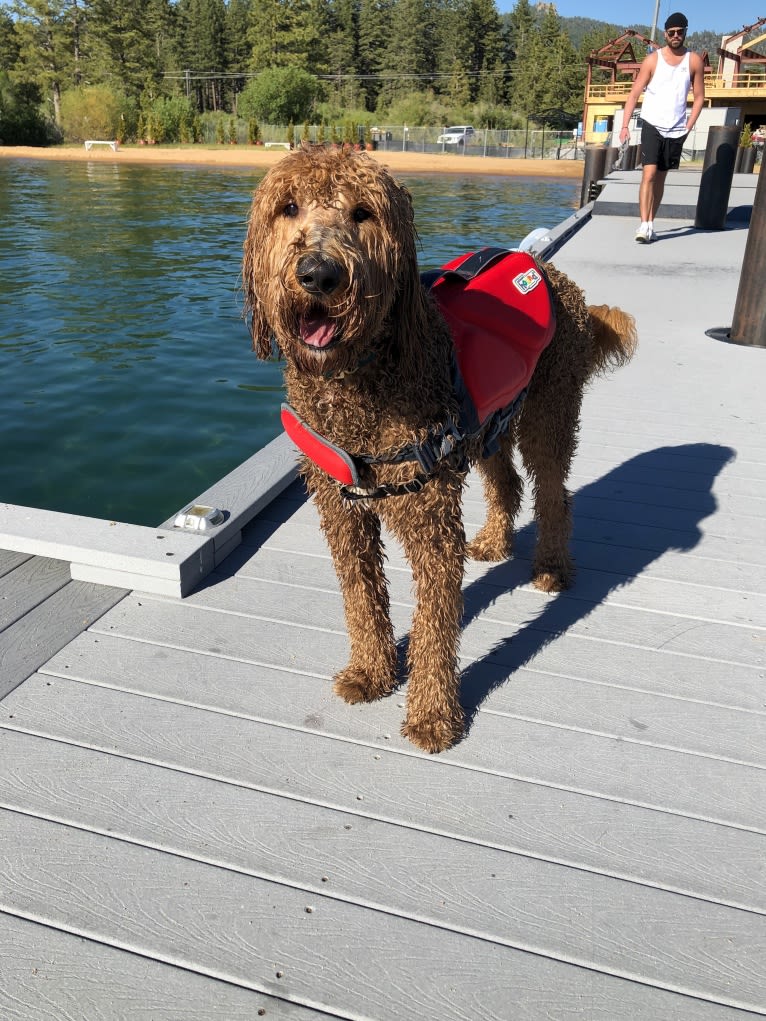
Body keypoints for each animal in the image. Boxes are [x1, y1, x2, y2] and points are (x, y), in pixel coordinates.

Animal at [243, 143, 637, 755]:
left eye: (362, 213)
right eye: (288, 208)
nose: (318, 274)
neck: (361, 378)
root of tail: (551, 273)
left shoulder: (429, 518)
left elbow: (434, 627)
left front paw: (431, 714)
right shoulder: (340, 509)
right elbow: (361, 598)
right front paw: (371, 672)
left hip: (548, 414)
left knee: (554, 493)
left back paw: (551, 567)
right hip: (490, 424)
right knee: (508, 483)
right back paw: (495, 541)